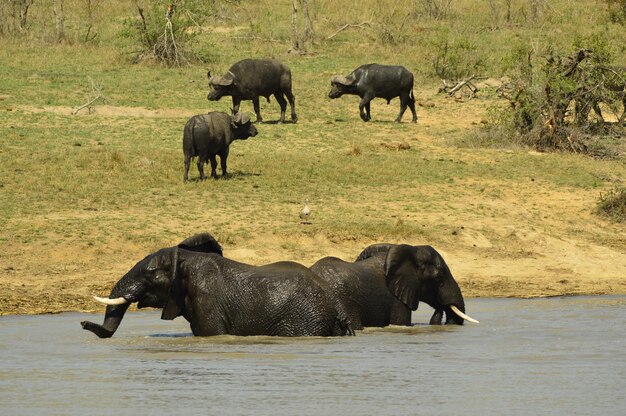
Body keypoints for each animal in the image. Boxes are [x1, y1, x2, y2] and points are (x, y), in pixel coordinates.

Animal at [81, 232, 352, 336]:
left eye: (149, 275)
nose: (83, 323)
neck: (186, 259)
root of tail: (338, 308)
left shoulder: (206, 301)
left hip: (305, 321)